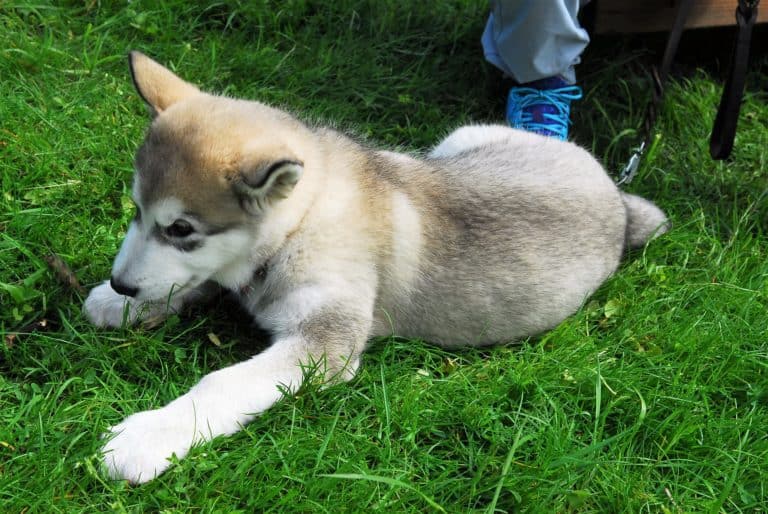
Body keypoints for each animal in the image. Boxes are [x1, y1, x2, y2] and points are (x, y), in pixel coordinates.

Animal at [84, 52, 668, 480]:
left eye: (181, 229)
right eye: (136, 209)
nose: (121, 282)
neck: (302, 222)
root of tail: (616, 193)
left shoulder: (326, 342)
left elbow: (223, 382)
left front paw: (147, 438)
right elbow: (201, 282)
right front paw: (120, 304)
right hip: (459, 139)